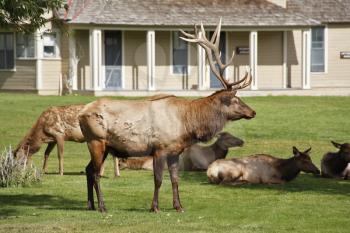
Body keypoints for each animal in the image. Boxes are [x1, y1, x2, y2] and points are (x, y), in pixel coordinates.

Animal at [78, 19, 256, 213]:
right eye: (236, 100)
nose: (253, 112)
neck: (187, 124)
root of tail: (81, 113)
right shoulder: (160, 148)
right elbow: (158, 180)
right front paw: (155, 207)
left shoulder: (175, 151)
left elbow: (175, 179)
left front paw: (178, 206)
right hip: (96, 140)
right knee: (95, 173)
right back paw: (102, 206)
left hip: (105, 146)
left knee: (88, 170)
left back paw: (90, 204)